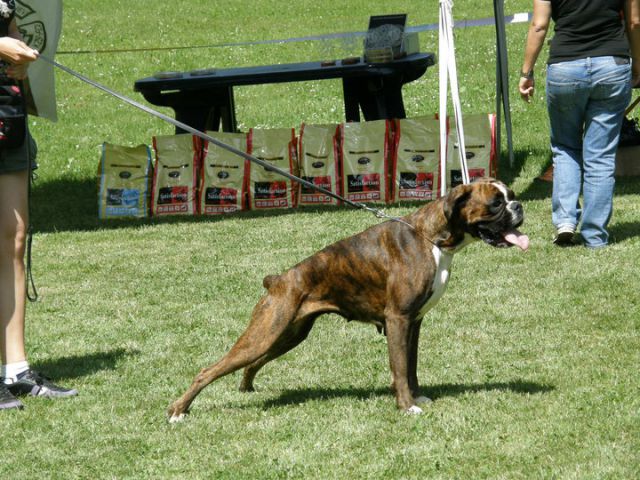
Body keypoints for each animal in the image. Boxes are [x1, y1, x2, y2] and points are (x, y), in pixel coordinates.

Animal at [168, 178, 528, 422]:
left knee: (253, 362)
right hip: (266, 333)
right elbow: (399, 367)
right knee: (208, 370)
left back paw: (245, 388)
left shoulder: (414, 322)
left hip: (286, 335)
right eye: (496, 203)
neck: (432, 238)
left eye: (510, 196)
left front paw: (416, 397)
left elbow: (410, 366)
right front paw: (406, 406)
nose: (519, 205)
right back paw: (177, 411)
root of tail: (279, 280)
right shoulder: (398, 319)